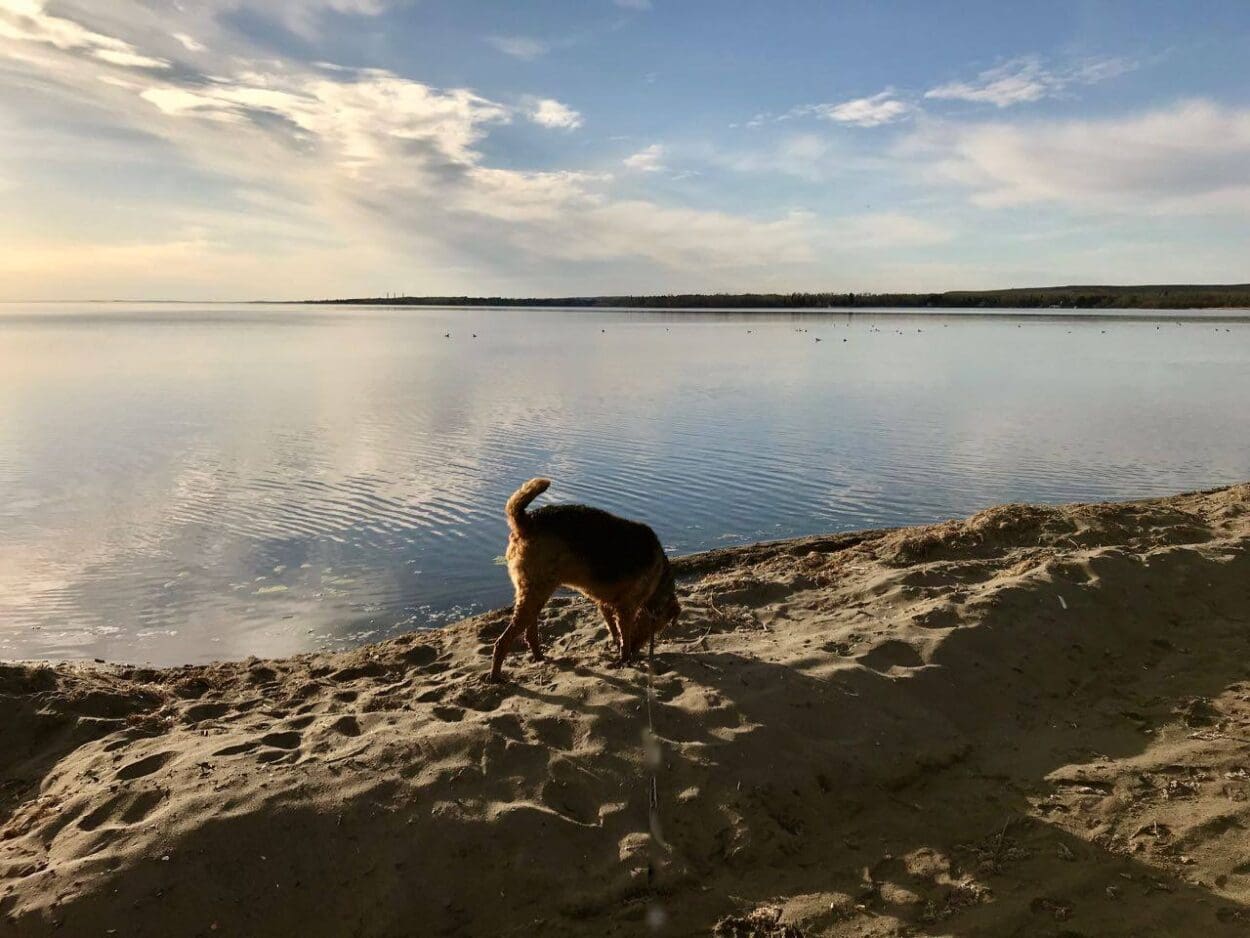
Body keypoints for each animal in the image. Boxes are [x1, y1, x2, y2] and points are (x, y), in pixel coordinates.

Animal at [490, 480, 685, 680]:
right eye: (656, 627)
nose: (637, 652)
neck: (659, 579)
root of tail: (526, 521)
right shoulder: (626, 608)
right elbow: (624, 636)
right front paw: (625, 659)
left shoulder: (606, 603)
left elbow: (614, 630)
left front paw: (619, 650)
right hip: (536, 592)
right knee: (502, 642)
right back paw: (496, 677)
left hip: (535, 594)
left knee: (530, 634)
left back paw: (540, 658)